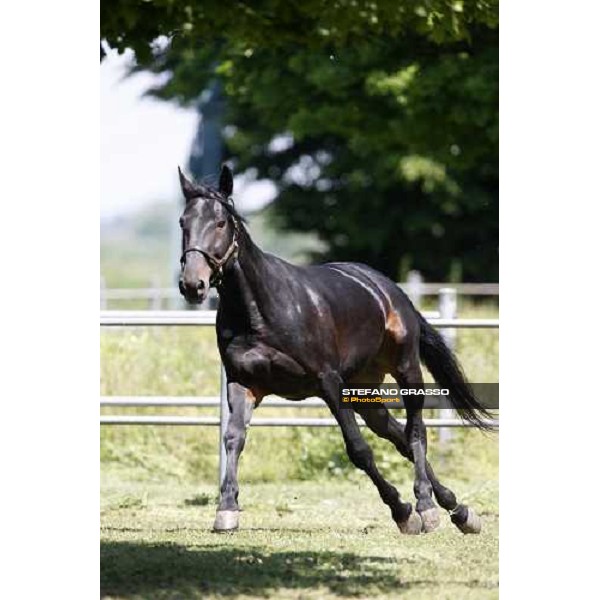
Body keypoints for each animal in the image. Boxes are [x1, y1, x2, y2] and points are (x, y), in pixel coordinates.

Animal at [176, 164, 490, 536]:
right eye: (183, 222)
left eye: (221, 222)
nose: (192, 285)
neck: (260, 311)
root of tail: (389, 289)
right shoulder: (243, 383)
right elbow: (234, 439)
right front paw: (226, 510)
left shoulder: (328, 383)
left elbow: (358, 450)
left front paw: (403, 511)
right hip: (365, 392)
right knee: (398, 436)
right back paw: (458, 509)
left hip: (406, 370)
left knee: (416, 433)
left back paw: (427, 506)